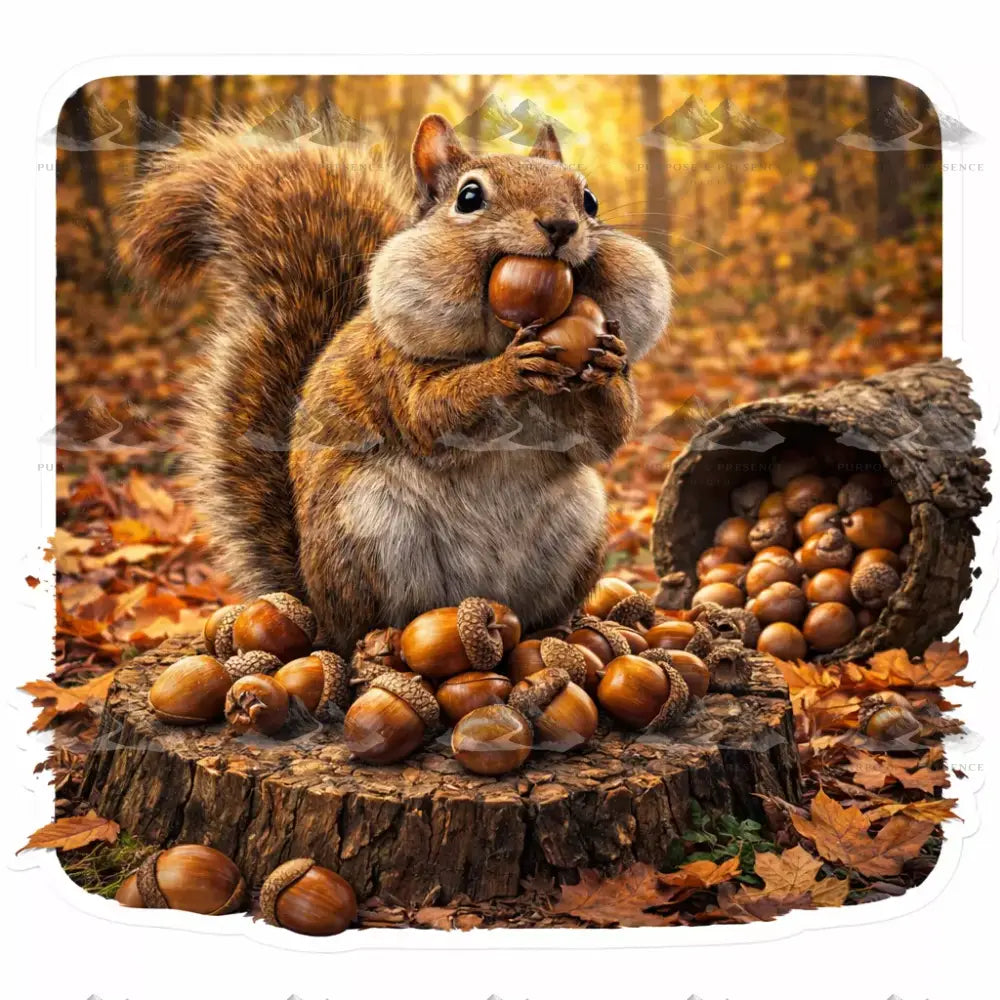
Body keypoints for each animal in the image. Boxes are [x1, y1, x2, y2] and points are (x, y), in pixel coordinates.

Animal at [126, 114, 671, 656]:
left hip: (579, 529)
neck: (501, 331)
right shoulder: (394, 369)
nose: (561, 226)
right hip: (368, 527)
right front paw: (509, 368)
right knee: (366, 623)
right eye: (469, 197)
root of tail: (315, 603)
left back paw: (554, 633)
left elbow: (604, 437)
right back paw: (381, 641)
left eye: (589, 199)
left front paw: (609, 361)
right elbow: (431, 411)